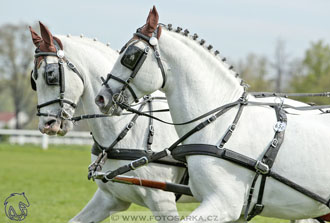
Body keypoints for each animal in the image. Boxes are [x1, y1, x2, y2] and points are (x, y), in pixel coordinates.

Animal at [29, 21, 196, 223]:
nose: (46, 124)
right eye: (33, 79)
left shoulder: (162, 200)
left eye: (51, 74)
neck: (128, 128)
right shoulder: (111, 198)